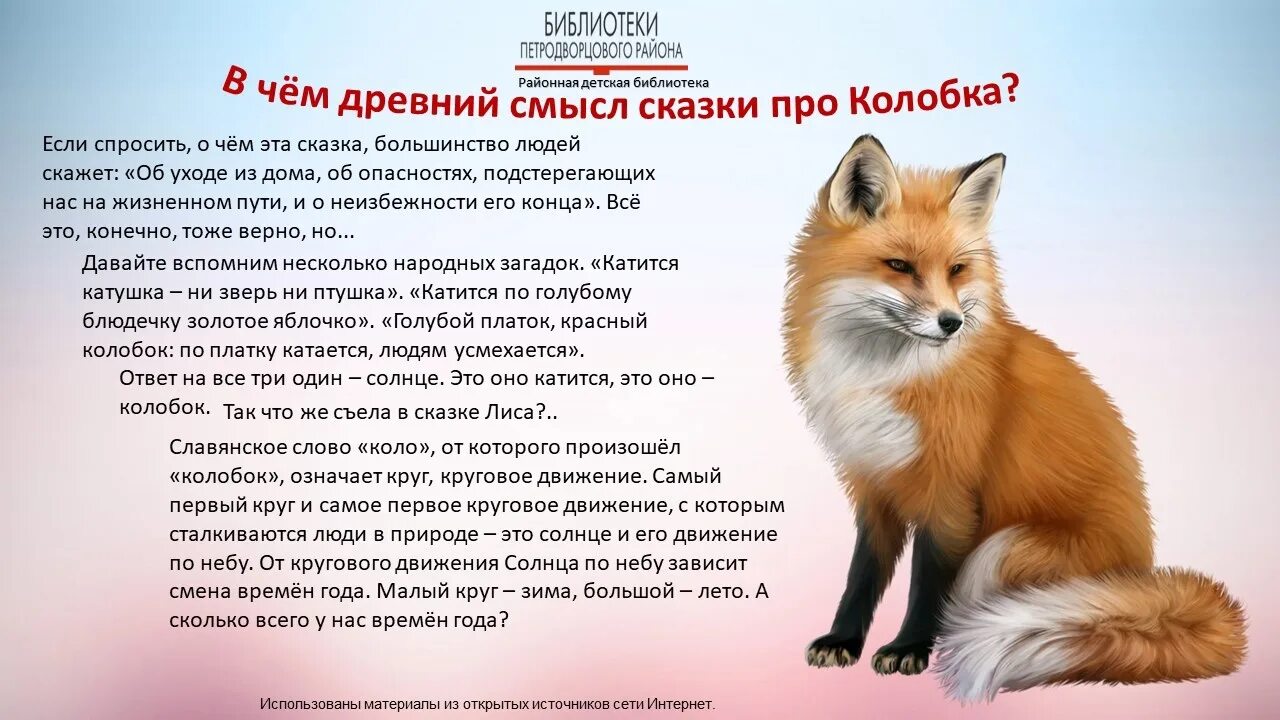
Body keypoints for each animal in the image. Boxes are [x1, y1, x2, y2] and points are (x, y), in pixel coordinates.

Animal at [783, 135, 1247, 702]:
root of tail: (1142, 571)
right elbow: (862, 575)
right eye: (899, 265)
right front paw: (843, 641)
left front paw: (910, 648)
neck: (888, 375)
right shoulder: (873, 484)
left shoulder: (951, 493)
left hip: (1001, 548)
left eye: (957, 270)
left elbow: (925, 584)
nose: (952, 323)